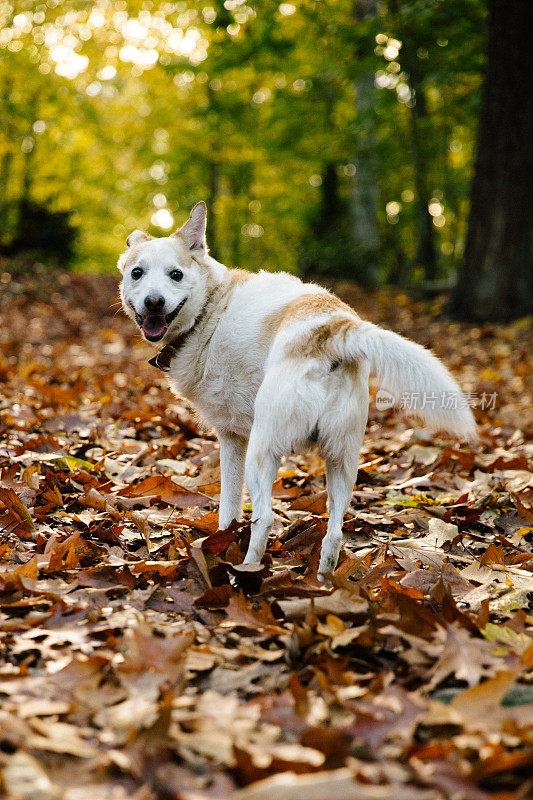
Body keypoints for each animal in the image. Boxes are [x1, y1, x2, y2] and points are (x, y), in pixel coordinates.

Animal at [118, 203, 476, 580]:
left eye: (176, 275)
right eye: (137, 273)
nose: (154, 302)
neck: (209, 309)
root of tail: (333, 329)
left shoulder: (233, 440)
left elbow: (228, 509)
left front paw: (219, 545)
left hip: (263, 452)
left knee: (265, 519)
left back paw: (245, 573)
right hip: (342, 460)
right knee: (334, 535)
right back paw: (324, 584)